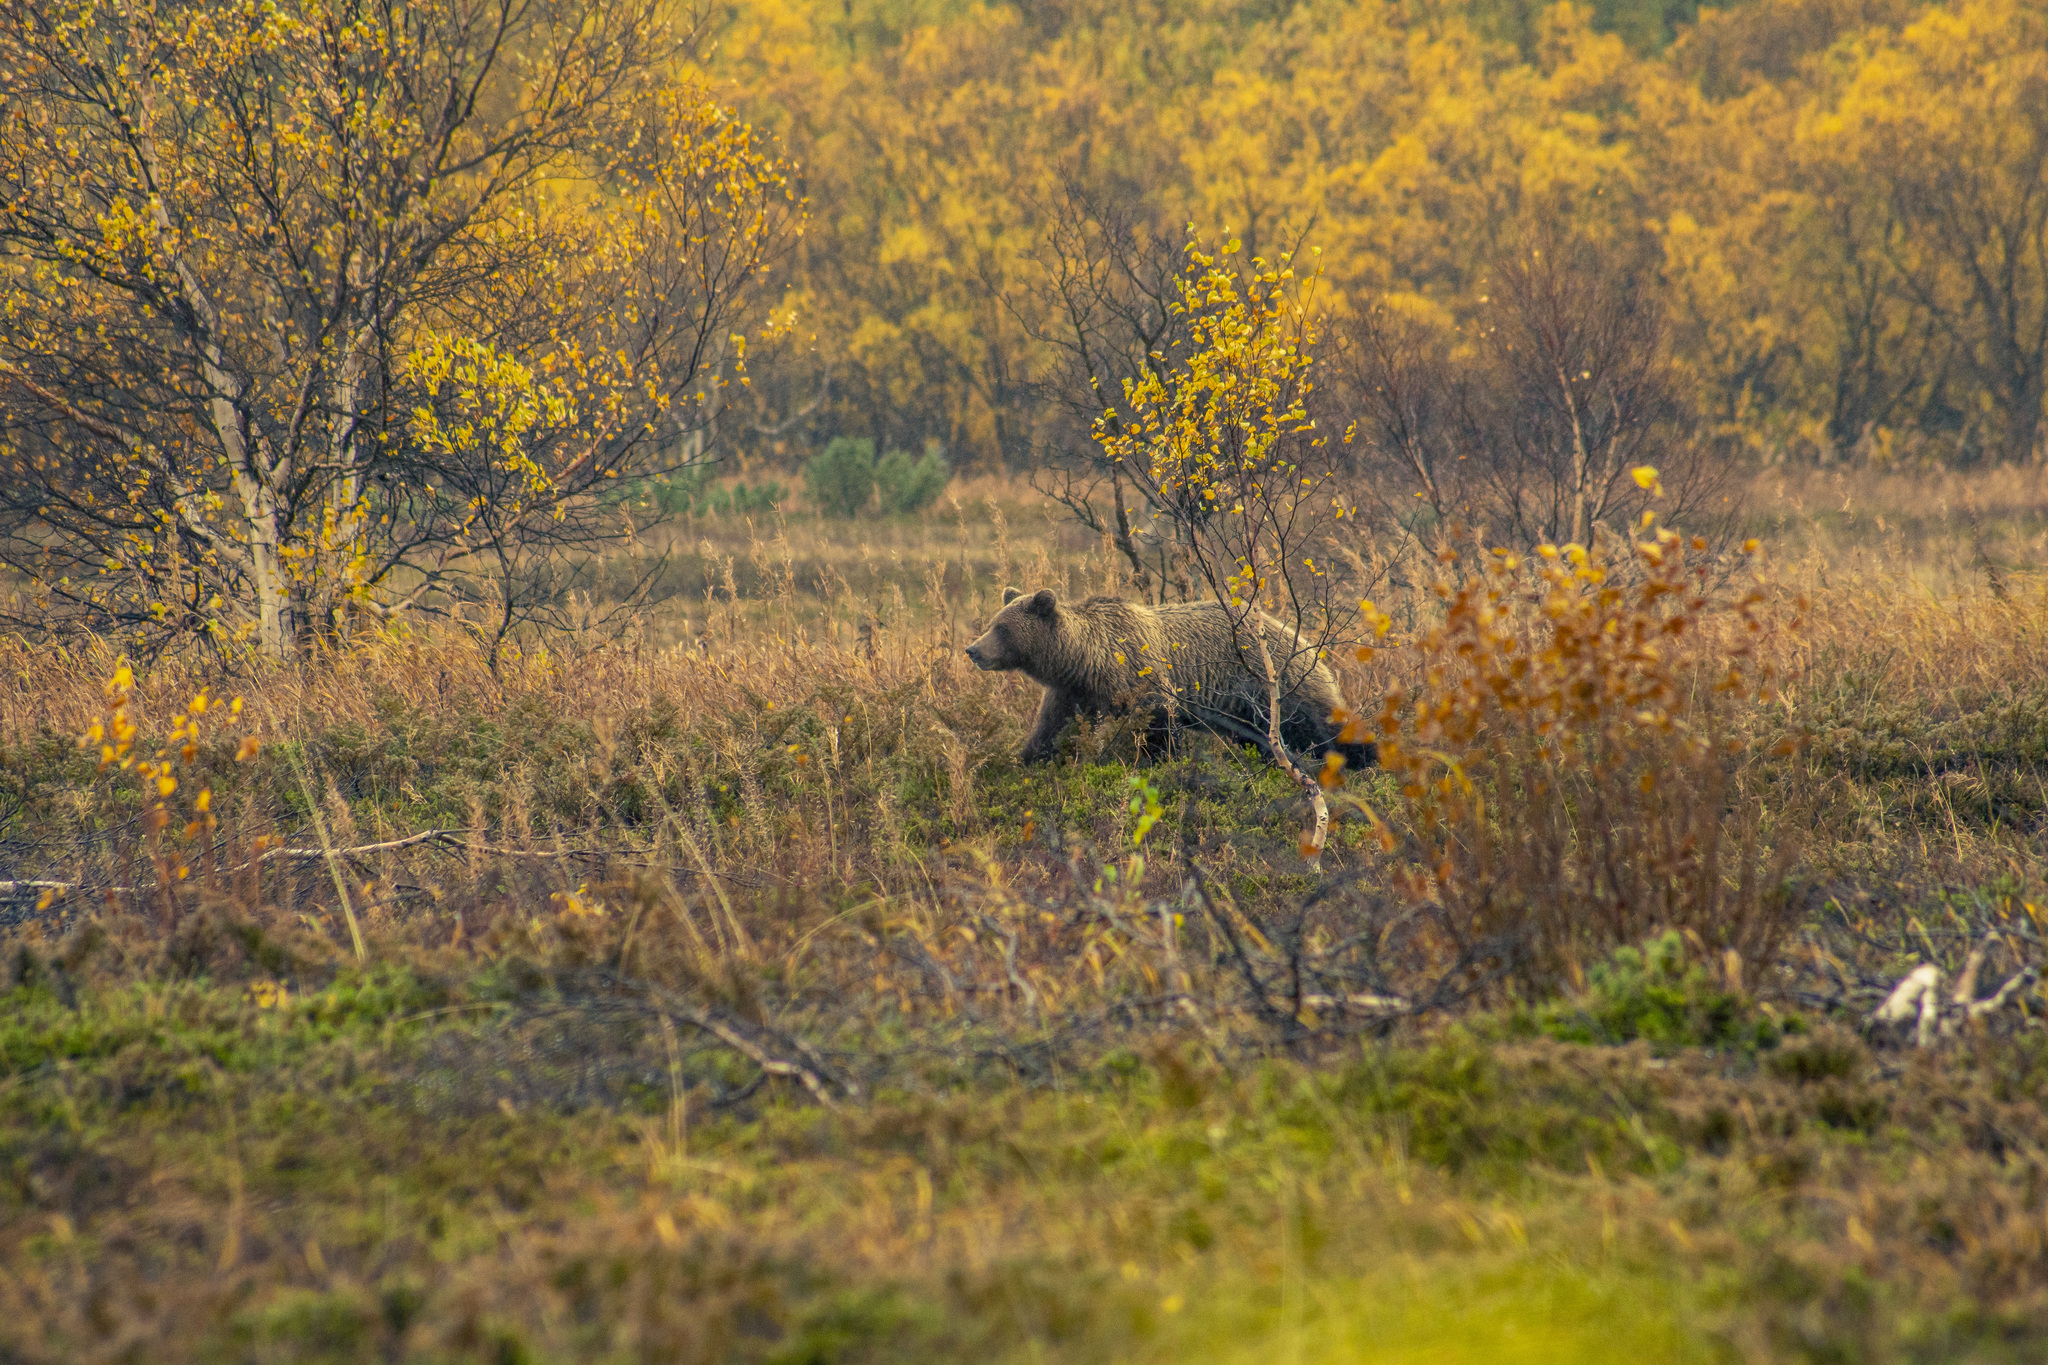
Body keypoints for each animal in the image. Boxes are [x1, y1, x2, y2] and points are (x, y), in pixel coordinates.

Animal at [958, 589, 1376, 773]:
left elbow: (1159, 724)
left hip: (1275, 682)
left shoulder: (1141, 676)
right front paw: (1028, 760)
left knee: (1318, 722)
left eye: (1002, 629)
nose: (972, 649)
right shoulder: (1071, 692)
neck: (1084, 662)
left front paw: (1157, 762)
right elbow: (1050, 729)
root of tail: (1299, 636)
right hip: (1248, 709)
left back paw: (1362, 757)